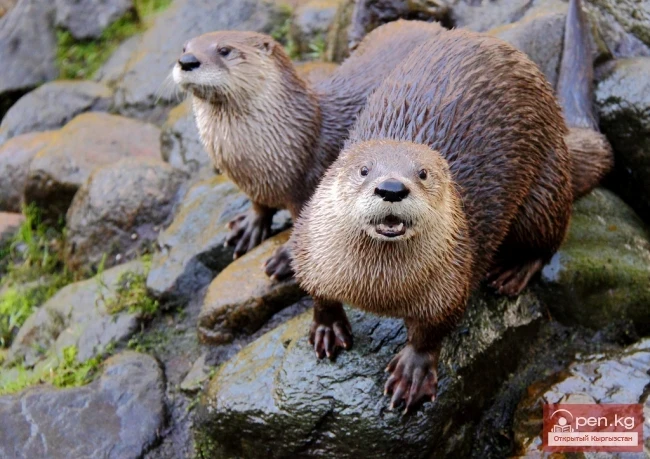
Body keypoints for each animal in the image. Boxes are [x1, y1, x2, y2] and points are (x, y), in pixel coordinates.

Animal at [173, 21, 447, 279]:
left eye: (224, 50)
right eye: (184, 48)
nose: (187, 61)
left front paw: (286, 257)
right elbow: (259, 205)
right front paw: (249, 227)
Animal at [292, 0, 612, 411]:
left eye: (423, 173)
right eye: (364, 170)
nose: (392, 187)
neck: (378, 290)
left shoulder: (453, 274)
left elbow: (433, 330)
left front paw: (412, 372)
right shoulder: (309, 246)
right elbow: (316, 290)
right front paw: (328, 326)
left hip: (545, 189)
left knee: (549, 238)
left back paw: (513, 271)